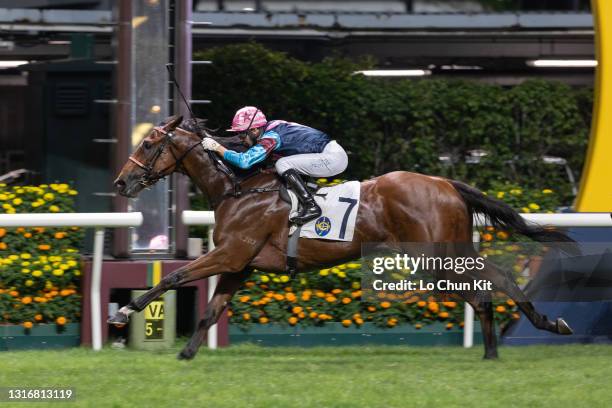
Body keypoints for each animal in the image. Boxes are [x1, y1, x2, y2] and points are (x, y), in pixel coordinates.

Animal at [110, 115, 572, 360]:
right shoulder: (240, 264)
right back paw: (526, 333)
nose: (121, 182)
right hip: (451, 251)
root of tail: (446, 183)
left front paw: (124, 312)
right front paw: (186, 354)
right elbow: (211, 310)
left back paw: (510, 341)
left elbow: (173, 277)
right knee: (497, 278)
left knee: (484, 289)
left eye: (149, 143)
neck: (237, 188)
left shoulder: (230, 254)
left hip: (435, 258)